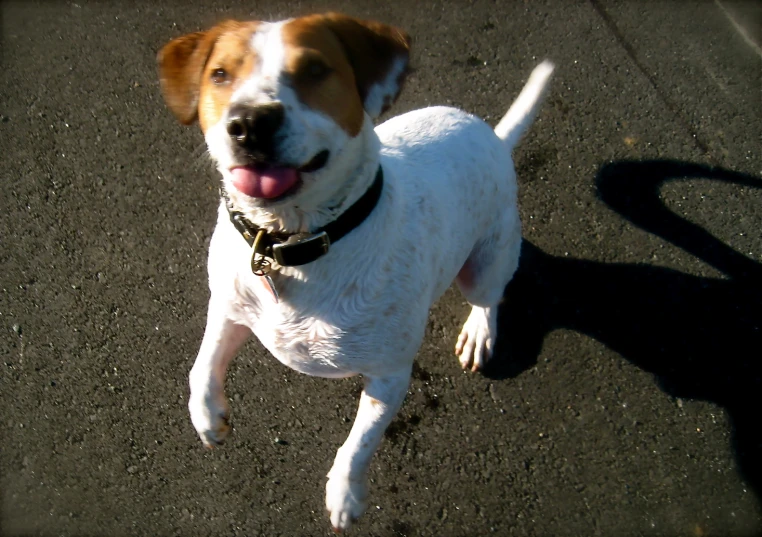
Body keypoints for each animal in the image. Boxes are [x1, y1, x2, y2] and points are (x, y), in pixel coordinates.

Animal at [156, 12, 552, 532]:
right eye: (220, 74)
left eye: (314, 70)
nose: (250, 124)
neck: (293, 243)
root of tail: (493, 138)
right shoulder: (229, 306)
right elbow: (201, 367)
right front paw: (207, 416)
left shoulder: (389, 376)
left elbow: (359, 444)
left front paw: (345, 495)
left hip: (486, 261)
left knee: (489, 297)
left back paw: (478, 331)